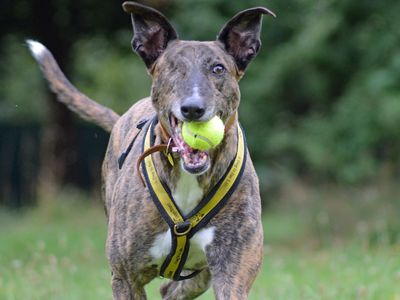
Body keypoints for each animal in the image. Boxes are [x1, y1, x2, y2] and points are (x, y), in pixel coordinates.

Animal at [27, 1, 276, 298]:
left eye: (218, 69)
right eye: (172, 68)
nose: (193, 108)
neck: (188, 176)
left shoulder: (233, 270)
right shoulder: (125, 278)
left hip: (201, 276)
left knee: (172, 288)